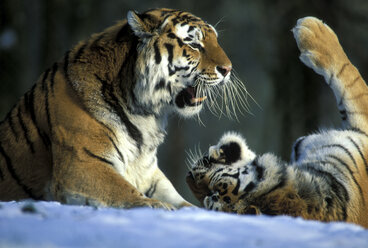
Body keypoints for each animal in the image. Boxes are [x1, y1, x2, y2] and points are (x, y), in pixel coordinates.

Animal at [0, 7, 236, 209]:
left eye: (215, 40)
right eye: (194, 44)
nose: (228, 69)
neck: (145, 113)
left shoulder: (148, 170)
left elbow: (181, 201)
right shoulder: (83, 163)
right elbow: (123, 190)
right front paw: (157, 206)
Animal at [188, 16, 368, 228]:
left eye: (214, 190)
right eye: (207, 196)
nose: (188, 176)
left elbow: (350, 78)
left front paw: (311, 28)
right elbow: (349, 77)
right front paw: (311, 28)